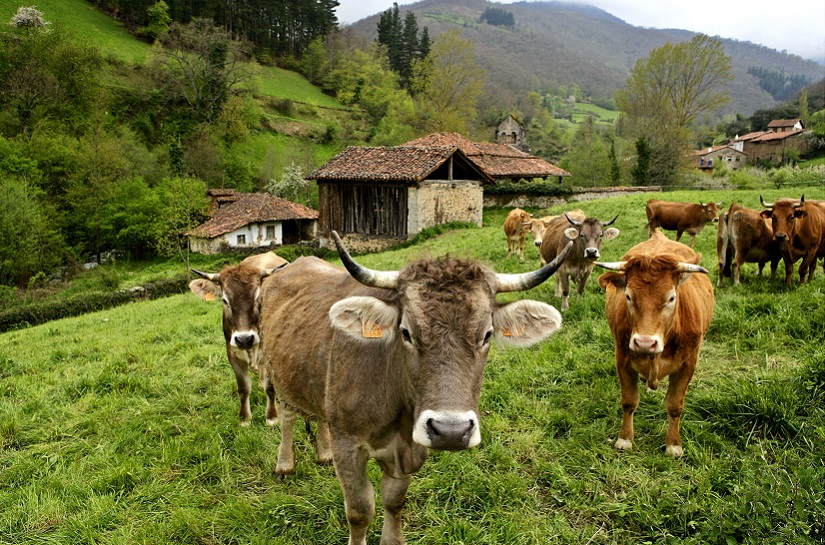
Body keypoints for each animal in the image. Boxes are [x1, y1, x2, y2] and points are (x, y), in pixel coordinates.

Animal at [189, 251, 286, 424]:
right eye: (224, 300)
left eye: (257, 299)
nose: (244, 339)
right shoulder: (232, 352)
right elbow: (243, 388)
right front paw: (244, 418)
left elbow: (270, 387)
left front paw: (272, 416)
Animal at [260, 231, 568, 544]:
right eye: (406, 332)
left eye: (487, 334)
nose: (451, 431)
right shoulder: (347, 445)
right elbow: (359, 510)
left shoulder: (410, 449)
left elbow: (394, 500)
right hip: (277, 373)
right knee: (287, 418)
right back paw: (285, 464)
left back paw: (323, 454)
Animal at [596, 232, 712, 456]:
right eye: (628, 296)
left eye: (671, 298)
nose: (644, 343)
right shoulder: (622, 359)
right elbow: (629, 401)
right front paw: (625, 439)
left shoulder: (688, 364)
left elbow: (675, 405)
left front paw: (674, 444)